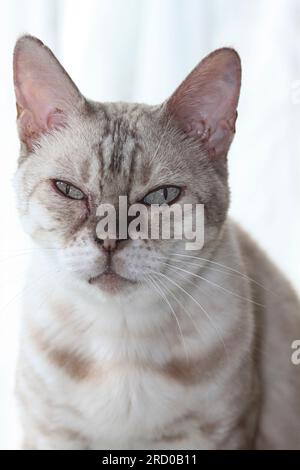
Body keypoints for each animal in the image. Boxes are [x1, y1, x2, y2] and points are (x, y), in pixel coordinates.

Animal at [13, 35, 300, 450]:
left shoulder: (216, 433)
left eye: (161, 197)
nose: (109, 240)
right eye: (69, 191)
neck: (121, 341)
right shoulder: (52, 433)